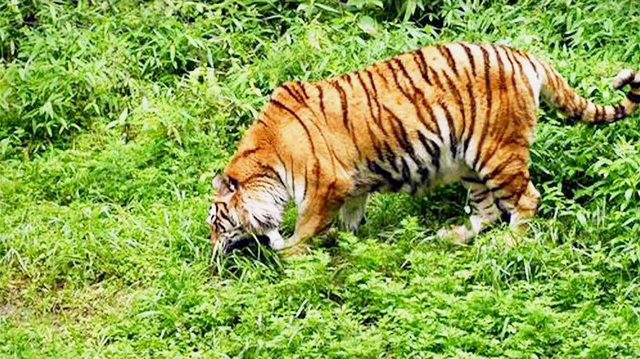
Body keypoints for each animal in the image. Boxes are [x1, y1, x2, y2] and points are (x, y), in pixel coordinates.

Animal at [206, 41, 640, 256]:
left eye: (217, 223)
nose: (212, 251)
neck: (266, 164)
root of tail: (523, 55)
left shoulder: (324, 187)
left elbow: (304, 231)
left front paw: (290, 257)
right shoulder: (352, 186)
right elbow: (349, 220)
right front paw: (347, 243)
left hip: (497, 152)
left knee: (525, 200)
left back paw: (509, 245)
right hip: (468, 162)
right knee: (487, 212)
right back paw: (452, 236)